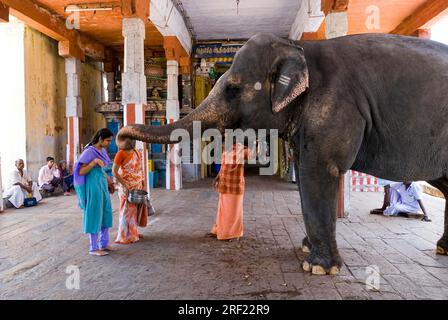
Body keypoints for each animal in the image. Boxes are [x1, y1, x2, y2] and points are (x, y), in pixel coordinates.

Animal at [118, 32, 448, 276]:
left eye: (232, 89)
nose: (123, 141)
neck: (297, 48)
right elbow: (303, 172)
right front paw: (306, 249)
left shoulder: (335, 106)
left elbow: (319, 170)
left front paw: (318, 268)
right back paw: (443, 249)